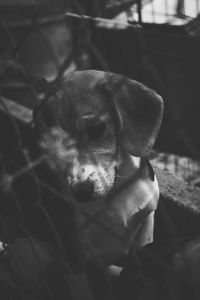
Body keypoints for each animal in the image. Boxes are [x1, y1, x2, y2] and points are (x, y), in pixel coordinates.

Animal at [33, 70, 163, 264]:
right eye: (56, 144)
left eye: (96, 129)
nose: (81, 193)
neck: (117, 189)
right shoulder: (78, 255)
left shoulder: (145, 229)